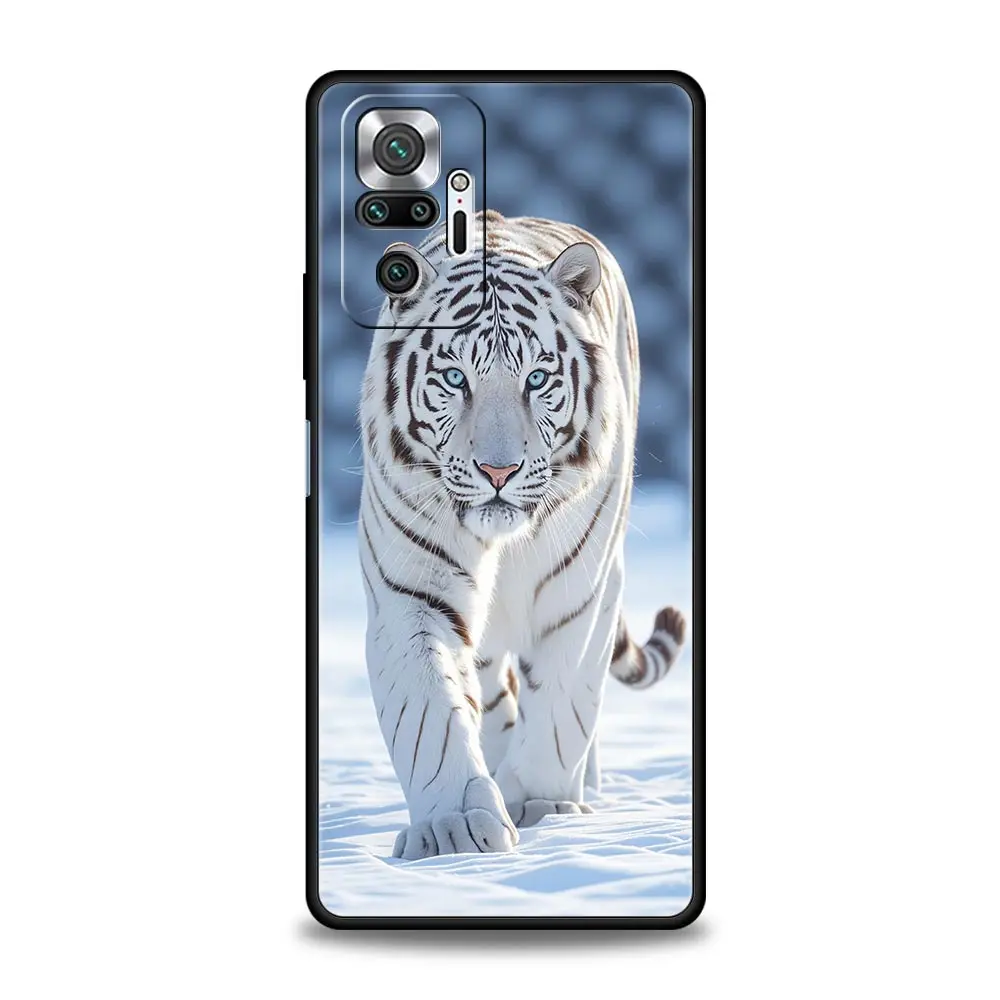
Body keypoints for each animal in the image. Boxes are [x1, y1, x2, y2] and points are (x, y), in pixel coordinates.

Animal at [358, 211, 687, 860]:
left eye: (537, 378)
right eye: (454, 377)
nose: (498, 471)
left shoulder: (580, 593)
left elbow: (562, 706)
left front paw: (543, 805)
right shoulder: (412, 596)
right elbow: (431, 715)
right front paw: (455, 828)